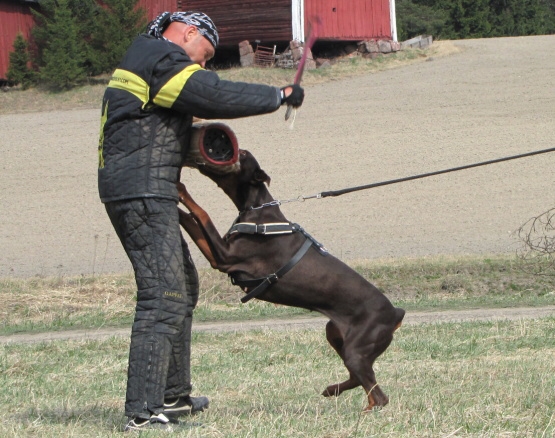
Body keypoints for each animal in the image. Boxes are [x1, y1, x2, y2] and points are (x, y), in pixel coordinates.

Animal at [177, 151, 404, 410]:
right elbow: (190, 219)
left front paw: (180, 189)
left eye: (242, 154)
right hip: (335, 332)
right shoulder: (220, 253)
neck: (258, 211)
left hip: (358, 347)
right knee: (360, 379)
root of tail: (396, 313)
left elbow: (201, 213)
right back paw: (332, 390)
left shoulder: (224, 257)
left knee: (379, 395)